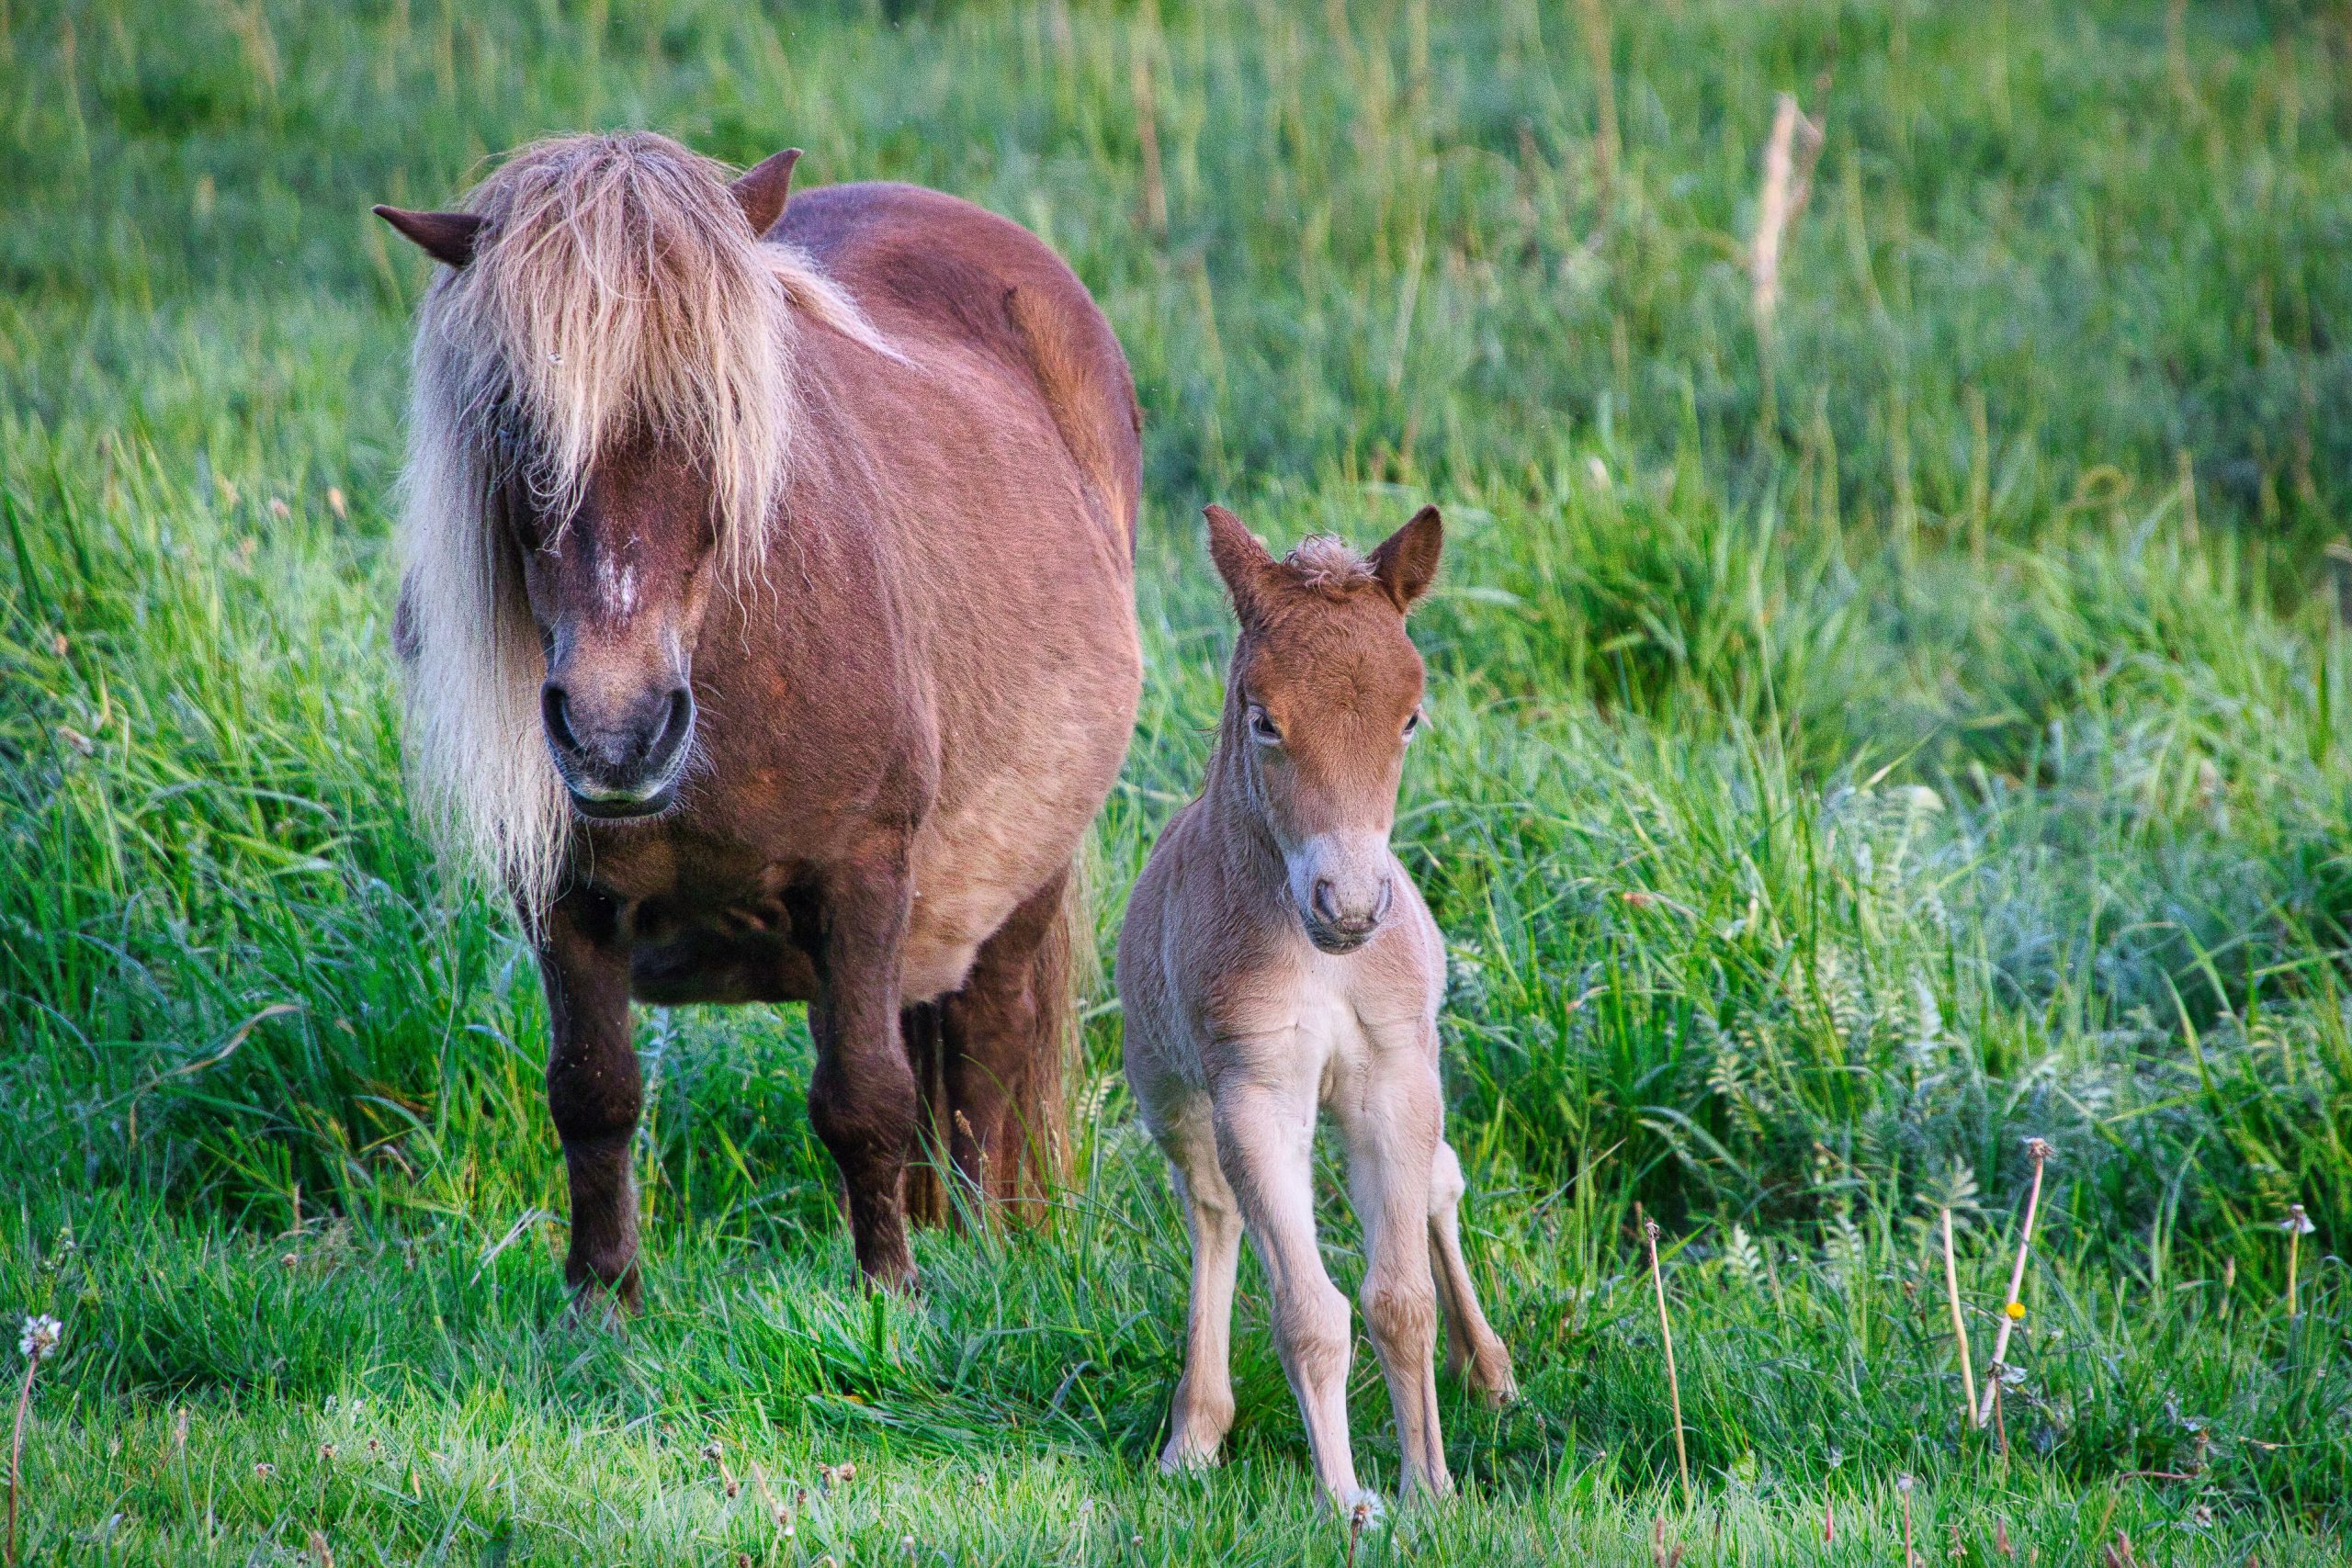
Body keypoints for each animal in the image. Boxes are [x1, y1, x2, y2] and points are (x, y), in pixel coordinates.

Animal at [380, 135, 1143, 1297]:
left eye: (719, 412)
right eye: (515, 422)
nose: (616, 731)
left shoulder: (865, 874)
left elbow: (864, 1095)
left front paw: (891, 1298)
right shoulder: (562, 898)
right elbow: (593, 1092)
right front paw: (599, 1301)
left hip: (1024, 877)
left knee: (988, 1049)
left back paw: (980, 1247)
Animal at [1124, 502, 1523, 1504]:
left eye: (1410, 716)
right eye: (1264, 720)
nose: (1348, 905)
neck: (1322, 961)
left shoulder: (1394, 1076)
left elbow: (1399, 1301)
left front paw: (1433, 1490)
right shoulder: (1258, 1092)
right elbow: (1309, 1312)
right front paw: (1348, 1501)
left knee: (1440, 1184)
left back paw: (1490, 1372)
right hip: (1174, 1099)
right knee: (1214, 1212)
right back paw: (1195, 1434)